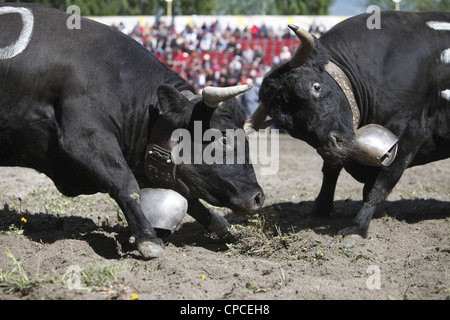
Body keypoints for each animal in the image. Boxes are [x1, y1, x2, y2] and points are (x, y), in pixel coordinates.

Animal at [0, 4, 266, 260]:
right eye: (223, 138)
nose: (258, 198)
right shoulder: (84, 138)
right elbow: (126, 183)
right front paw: (147, 238)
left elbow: (186, 196)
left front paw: (221, 226)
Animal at [251, 11, 450, 238]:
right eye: (288, 125)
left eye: (316, 86)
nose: (331, 148)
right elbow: (330, 172)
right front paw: (320, 208)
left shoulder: (410, 134)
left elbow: (380, 185)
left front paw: (358, 226)